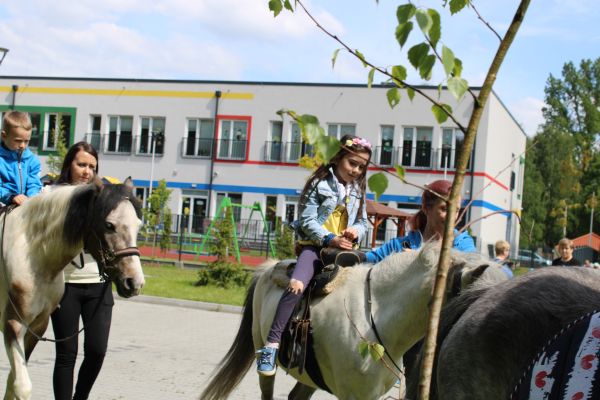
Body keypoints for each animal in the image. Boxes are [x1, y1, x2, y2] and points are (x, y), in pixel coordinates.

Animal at [0, 181, 145, 400]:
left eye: (138, 225)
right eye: (109, 225)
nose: (134, 282)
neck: (32, 255)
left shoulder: (37, 326)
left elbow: (12, 381)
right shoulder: (13, 324)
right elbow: (22, 386)